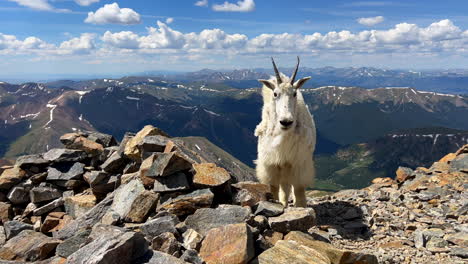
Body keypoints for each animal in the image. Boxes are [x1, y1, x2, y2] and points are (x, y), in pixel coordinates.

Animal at [254, 56, 316, 207]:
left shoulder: (299, 163)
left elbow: (299, 190)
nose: (286, 121)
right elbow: (274, 187)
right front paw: (276, 202)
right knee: (284, 187)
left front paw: (301, 206)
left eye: (294, 93)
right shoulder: (271, 164)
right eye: (275, 94)